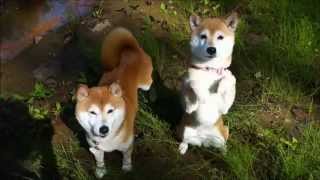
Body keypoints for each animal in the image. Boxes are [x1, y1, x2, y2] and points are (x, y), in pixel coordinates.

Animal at [75, 27, 152, 178]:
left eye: (110, 110)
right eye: (92, 112)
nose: (104, 129)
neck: (106, 140)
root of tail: (131, 50)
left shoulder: (127, 145)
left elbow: (127, 158)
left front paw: (127, 168)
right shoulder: (95, 148)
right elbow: (99, 161)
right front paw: (100, 171)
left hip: (146, 83)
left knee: (151, 83)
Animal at [179, 12, 239, 154]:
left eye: (220, 37)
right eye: (203, 36)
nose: (211, 49)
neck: (209, 70)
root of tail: (203, 140)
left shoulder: (224, 108)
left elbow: (231, 78)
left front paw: (223, 83)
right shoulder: (189, 105)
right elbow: (193, 82)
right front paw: (203, 95)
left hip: (222, 135)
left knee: (222, 143)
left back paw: (224, 152)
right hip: (184, 130)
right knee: (185, 140)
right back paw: (183, 147)